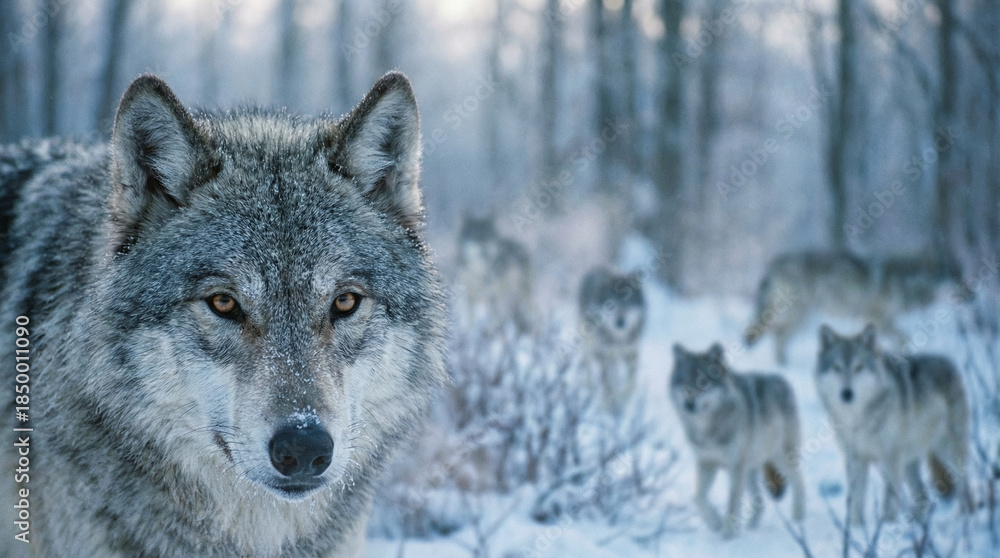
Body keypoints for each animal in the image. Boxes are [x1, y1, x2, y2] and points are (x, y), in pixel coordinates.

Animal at [578, 267, 646, 414]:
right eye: (611, 305)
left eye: (628, 302)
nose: (620, 322)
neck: (618, 338)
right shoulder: (604, 355)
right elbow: (607, 384)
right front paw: (609, 408)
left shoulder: (631, 353)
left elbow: (631, 382)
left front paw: (624, 400)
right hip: (589, 345)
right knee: (587, 366)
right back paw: (589, 387)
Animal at [670, 343, 805, 538]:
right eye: (683, 383)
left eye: (704, 382)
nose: (689, 404)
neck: (708, 430)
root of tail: (780, 379)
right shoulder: (706, 463)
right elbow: (698, 498)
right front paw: (716, 523)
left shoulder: (735, 468)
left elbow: (732, 505)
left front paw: (727, 536)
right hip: (750, 469)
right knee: (760, 501)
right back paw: (752, 528)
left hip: (780, 458)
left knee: (799, 482)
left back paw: (799, 521)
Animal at [744, 251, 969, 364]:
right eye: (955, 276)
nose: (971, 293)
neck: (906, 281)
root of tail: (774, 265)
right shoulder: (877, 319)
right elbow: (900, 340)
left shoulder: (884, 321)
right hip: (798, 316)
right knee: (775, 336)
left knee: (776, 336)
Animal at [815, 324, 970, 525]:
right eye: (836, 368)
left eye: (859, 367)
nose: (847, 394)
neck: (857, 418)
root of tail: (949, 362)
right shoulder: (856, 458)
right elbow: (857, 499)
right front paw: (857, 528)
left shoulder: (890, 457)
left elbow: (889, 499)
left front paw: (886, 524)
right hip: (909, 463)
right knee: (924, 497)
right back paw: (917, 523)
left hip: (947, 450)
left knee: (964, 485)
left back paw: (964, 516)